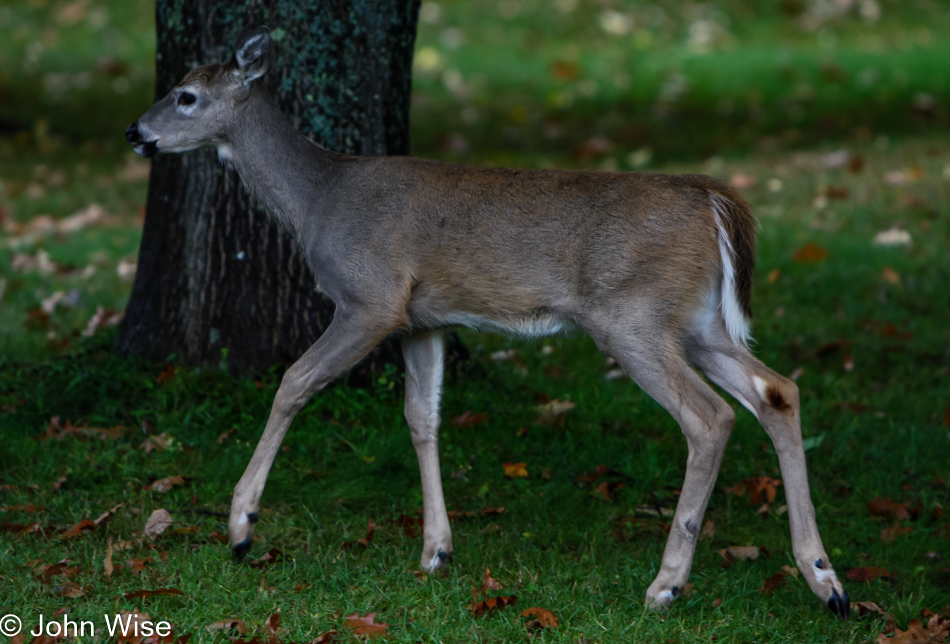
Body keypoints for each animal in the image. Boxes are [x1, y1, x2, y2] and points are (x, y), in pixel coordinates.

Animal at [124, 26, 848, 620]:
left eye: (185, 96)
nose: (137, 133)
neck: (317, 201)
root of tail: (716, 201)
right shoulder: (422, 320)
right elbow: (423, 417)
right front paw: (436, 552)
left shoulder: (371, 297)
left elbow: (294, 381)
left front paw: (241, 525)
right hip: (696, 323)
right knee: (778, 390)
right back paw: (825, 580)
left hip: (631, 316)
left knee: (710, 417)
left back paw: (666, 585)